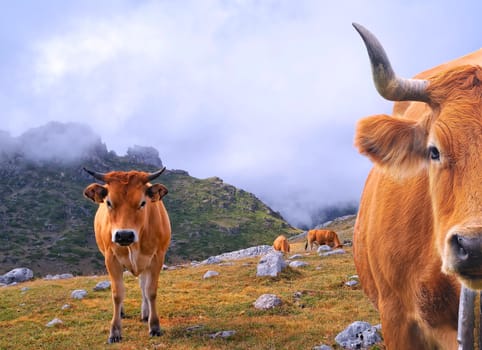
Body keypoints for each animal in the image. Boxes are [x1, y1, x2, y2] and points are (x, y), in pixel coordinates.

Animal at [83, 168, 171, 344]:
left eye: (143, 203)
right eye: (109, 202)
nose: (124, 235)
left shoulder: (157, 257)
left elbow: (151, 291)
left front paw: (154, 326)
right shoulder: (111, 258)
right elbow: (117, 293)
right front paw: (115, 331)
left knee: (143, 286)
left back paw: (145, 313)